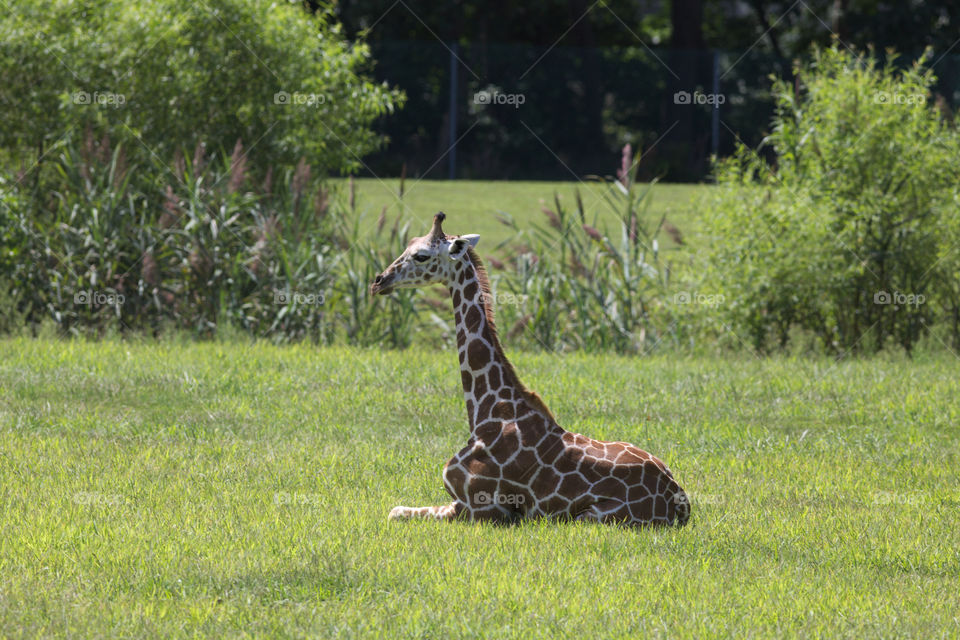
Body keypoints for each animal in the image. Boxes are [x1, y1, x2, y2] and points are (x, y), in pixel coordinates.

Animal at [370, 212, 688, 528]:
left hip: (590, 517)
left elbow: (395, 511)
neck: (487, 410)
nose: (378, 281)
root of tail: (681, 503)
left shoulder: (479, 508)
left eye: (421, 255)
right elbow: (396, 509)